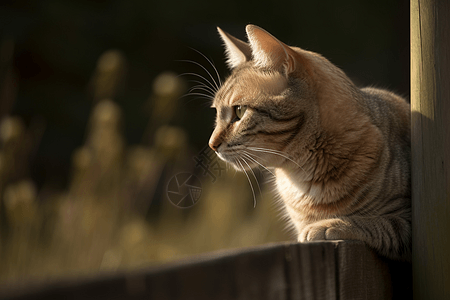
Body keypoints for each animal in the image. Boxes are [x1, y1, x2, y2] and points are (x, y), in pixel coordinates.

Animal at [207, 24, 412, 262]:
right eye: (216, 112)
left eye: (239, 111)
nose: (212, 144)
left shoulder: (412, 222)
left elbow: (380, 223)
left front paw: (329, 225)